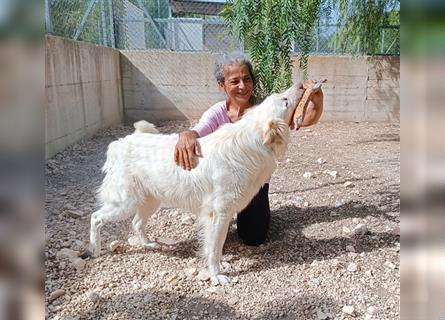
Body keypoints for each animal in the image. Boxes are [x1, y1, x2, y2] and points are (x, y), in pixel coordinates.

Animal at [86, 83, 302, 284]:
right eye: (284, 101)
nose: (300, 85)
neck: (250, 142)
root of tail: (121, 142)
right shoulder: (218, 214)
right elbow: (214, 249)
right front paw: (216, 275)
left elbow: (214, 247)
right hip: (125, 204)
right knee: (96, 217)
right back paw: (94, 249)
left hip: (150, 201)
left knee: (136, 222)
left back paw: (148, 245)